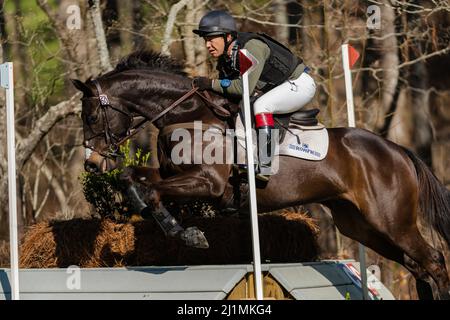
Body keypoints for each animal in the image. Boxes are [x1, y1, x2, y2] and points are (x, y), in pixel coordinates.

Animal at [72, 50, 450, 300]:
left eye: (89, 117)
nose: (91, 164)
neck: (186, 113)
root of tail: (397, 150)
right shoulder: (170, 173)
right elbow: (132, 178)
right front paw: (153, 215)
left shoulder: (208, 183)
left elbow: (153, 192)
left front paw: (188, 234)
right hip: (360, 225)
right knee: (417, 265)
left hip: (391, 220)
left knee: (433, 260)